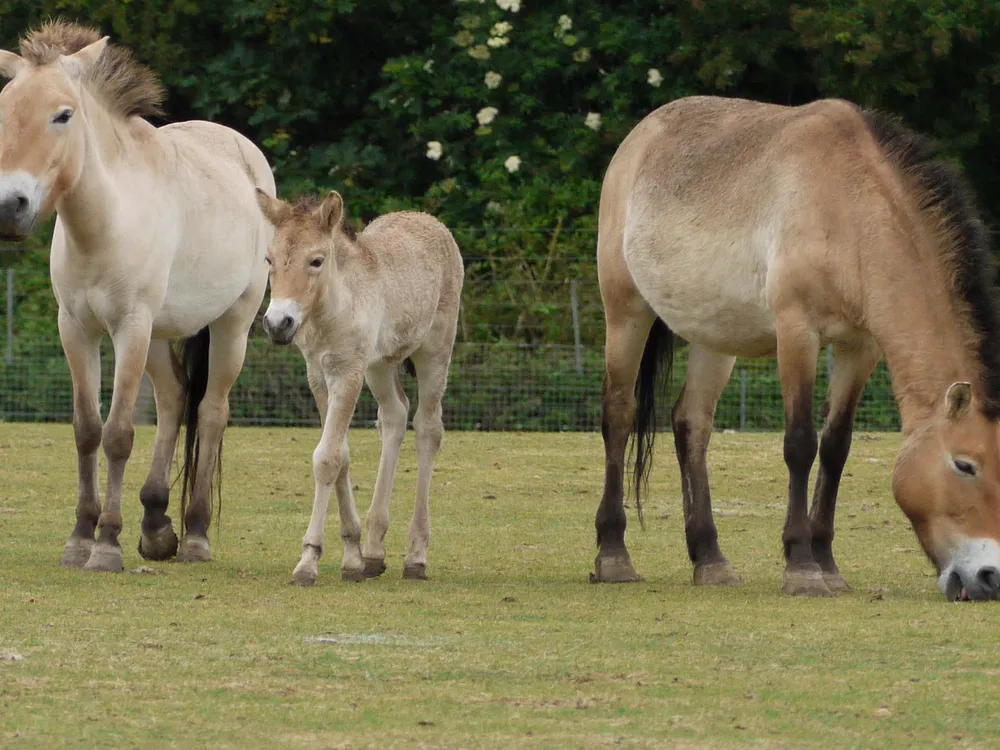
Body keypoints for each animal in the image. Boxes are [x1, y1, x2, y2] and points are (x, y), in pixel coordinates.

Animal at [0, 20, 274, 572]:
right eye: (2, 108)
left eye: (64, 114)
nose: (8, 207)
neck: (106, 222)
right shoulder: (76, 330)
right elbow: (87, 429)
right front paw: (79, 539)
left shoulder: (129, 327)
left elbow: (119, 433)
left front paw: (106, 545)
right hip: (158, 336)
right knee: (172, 399)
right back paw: (155, 525)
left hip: (229, 326)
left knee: (210, 411)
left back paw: (194, 535)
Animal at [256, 191, 462, 584]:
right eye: (269, 260)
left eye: (316, 260)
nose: (277, 324)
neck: (334, 306)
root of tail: (428, 219)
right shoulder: (318, 374)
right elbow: (341, 455)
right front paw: (351, 556)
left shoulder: (348, 372)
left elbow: (327, 458)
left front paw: (308, 561)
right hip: (380, 366)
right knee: (394, 416)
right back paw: (373, 552)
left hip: (434, 354)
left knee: (428, 428)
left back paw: (415, 557)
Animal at [596, 95, 1000, 604]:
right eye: (964, 465)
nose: (989, 577)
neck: (848, 210)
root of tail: (640, 137)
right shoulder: (796, 333)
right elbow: (800, 445)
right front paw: (802, 566)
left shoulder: (859, 346)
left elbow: (835, 447)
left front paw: (828, 563)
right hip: (625, 311)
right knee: (619, 414)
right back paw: (613, 557)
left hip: (714, 336)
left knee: (692, 424)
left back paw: (711, 560)